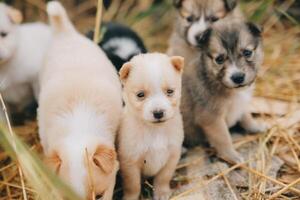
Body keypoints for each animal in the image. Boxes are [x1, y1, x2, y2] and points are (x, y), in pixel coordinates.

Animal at [118, 52, 184, 199]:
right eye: (140, 95)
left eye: (170, 91)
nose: (158, 113)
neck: (155, 131)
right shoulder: (129, 162)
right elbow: (133, 185)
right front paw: (130, 197)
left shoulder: (172, 156)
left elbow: (163, 178)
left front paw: (162, 193)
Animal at [180, 21, 268, 163]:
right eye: (219, 59)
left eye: (247, 52)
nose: (238, 77)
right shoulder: (212, 119)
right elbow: (224, 138)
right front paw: (232, 156)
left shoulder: (241, 105)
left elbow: (247, 117)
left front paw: (256, 126)